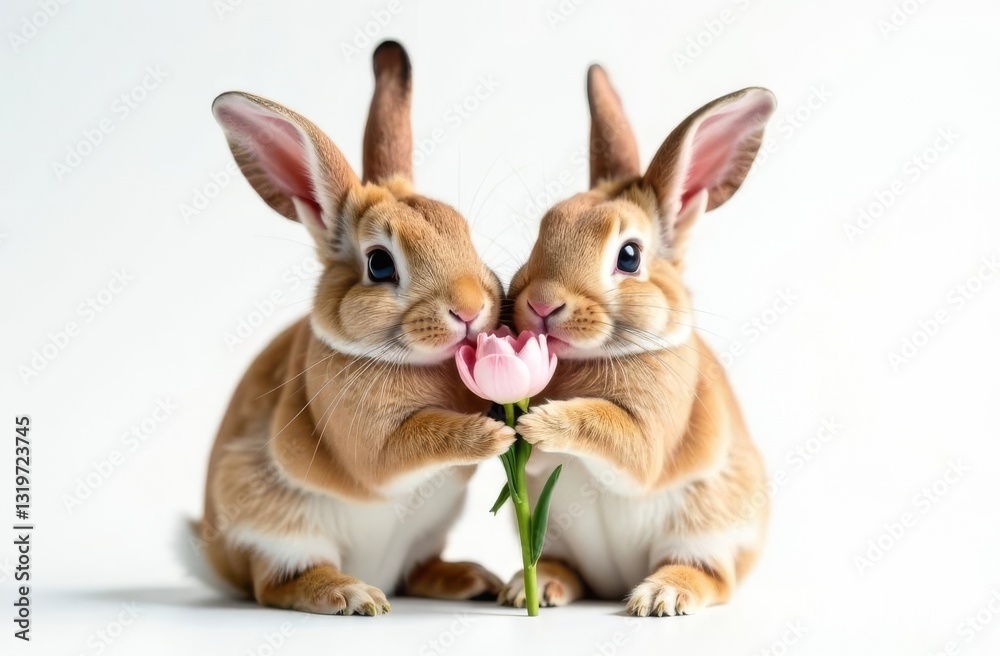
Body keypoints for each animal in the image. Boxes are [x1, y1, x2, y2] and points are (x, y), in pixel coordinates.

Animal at [192, 41, 516, 615]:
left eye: (464, 233)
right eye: (380, 264)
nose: (469, 309)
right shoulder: (368, 441)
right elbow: (406, 446)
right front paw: (489, 433)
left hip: (429, 533)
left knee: (416, 571)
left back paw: (473, 579)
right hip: (281, 532)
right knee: (274, 584)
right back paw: (352, 594)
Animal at [500, 65, 776, 616]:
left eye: (629, 256)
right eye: (543, 229)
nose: (541, 304)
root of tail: (616, 581)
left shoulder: (650, 434)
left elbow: (615, 434)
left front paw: (540, 424)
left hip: (708, 527)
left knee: (712, 576)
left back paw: (660, 595)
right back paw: (532, 587)